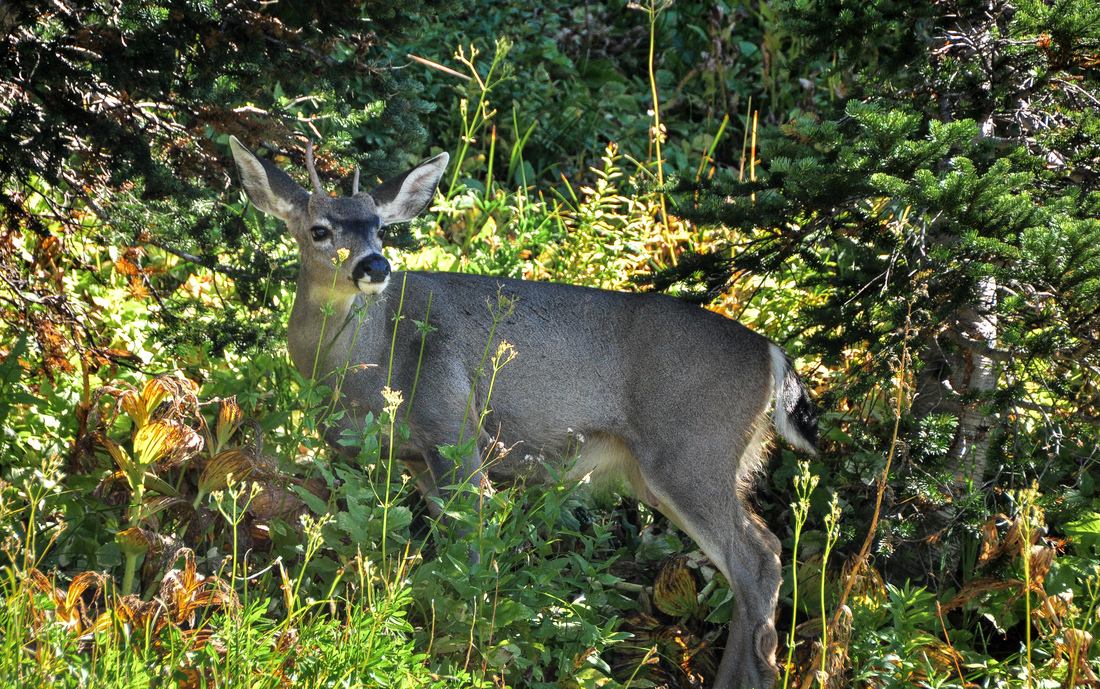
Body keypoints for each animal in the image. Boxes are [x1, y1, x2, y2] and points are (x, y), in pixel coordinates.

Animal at [228, 136, 818, 689]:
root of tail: (772, 355)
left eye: (379, 228)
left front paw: (468, 647)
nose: (375, 265)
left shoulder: (454, 427)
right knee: (760, 554)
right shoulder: (412, 458)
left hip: (692, 452)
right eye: (320, 229)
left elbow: (474, 542)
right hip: (681, 470)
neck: (360, 367)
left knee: (758, 557)